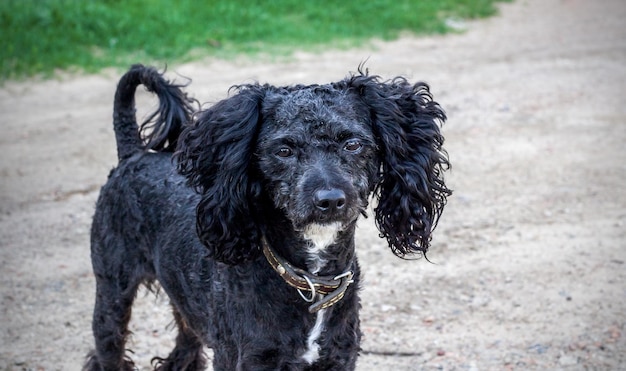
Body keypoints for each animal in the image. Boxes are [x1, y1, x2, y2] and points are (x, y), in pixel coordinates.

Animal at [84, 65, 448, 370]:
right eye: (283, 150)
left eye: (353, 144)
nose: (330, 200)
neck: (310, 282)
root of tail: (132, 155)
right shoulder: (247, 359)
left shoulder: (339, 357)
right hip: (111, 292)